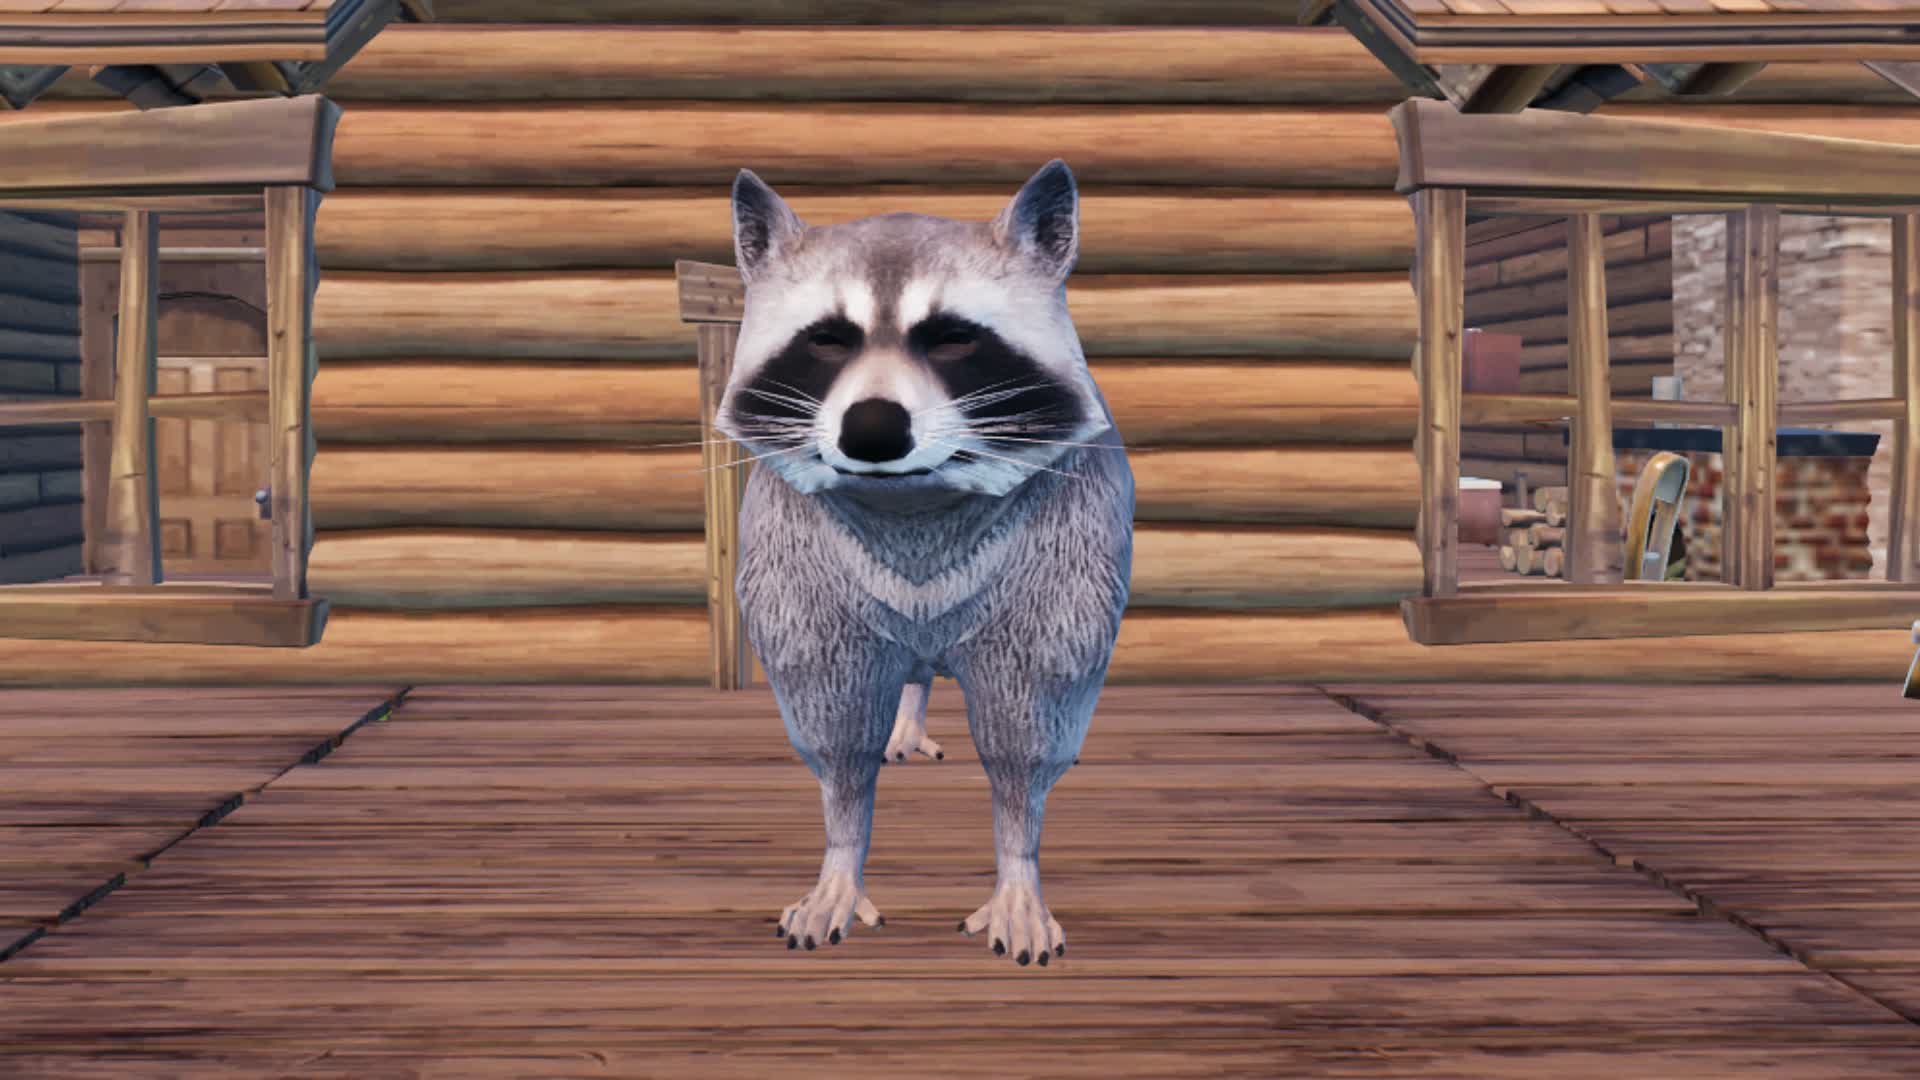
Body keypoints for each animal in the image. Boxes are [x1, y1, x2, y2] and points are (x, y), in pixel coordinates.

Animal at [715, 160, 1134, 967]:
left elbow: (1026, 730)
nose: (874, 429)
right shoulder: (797, 569)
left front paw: (1018, 862)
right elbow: (836, 729)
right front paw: (841, 855)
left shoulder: (1063, 557)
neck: (913, 504)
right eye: (827, 340)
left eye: (951, 339)